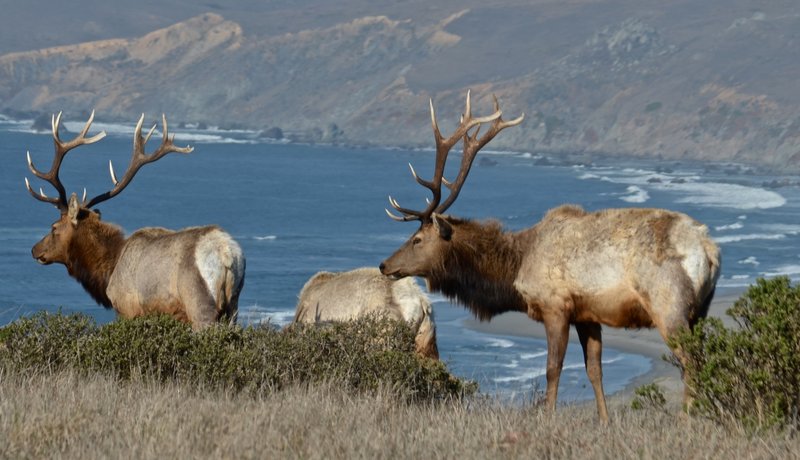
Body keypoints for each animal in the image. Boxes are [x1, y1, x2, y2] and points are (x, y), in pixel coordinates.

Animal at [25, 111, 244, 328]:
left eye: (54, 227)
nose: (34, 249)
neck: (109, 270)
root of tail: (227, 256)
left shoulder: (127, 308)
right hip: (233, 307)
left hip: (199, 303)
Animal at [378, 91, 720, 422]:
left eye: (417, 239)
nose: (384, 265)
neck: (514, 271)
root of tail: (709, 249)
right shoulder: (587, 315)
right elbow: (594, 371)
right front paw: (605, 422)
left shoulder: (555, 307)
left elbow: (552, 369)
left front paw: (548, 417)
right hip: (701, 309)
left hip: (669, 305)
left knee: (691, 362)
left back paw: (689, 420)